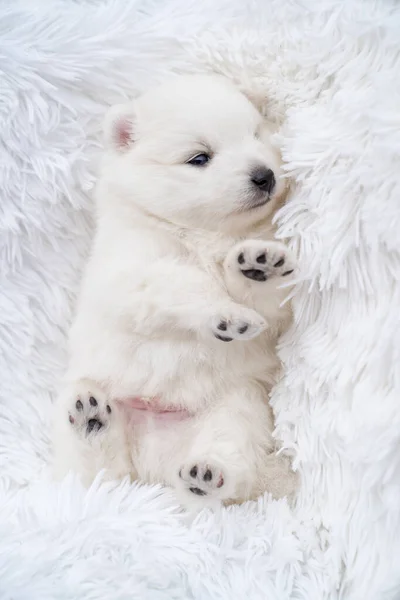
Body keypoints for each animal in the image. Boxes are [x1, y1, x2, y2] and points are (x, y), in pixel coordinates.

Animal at [53, 74, 296, 506]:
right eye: (199, 158)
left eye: (255, 134)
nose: (264, 175)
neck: (201, 233)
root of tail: (154, 470)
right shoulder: (132, 266)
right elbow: (179, 282)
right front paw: (226, 315)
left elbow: (266, 304)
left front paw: (258, 265)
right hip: (92, 401)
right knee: (93, 477)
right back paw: (90, 418)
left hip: (237, 401)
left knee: (231, 448)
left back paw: (205, 474)